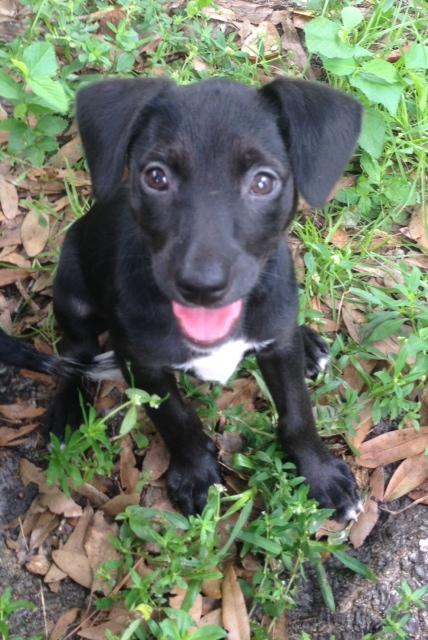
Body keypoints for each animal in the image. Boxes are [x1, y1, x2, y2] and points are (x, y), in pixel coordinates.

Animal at [4, 76, 363, 519]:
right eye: (156, 177)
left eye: (263, 182)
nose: (201, 285)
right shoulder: (142, 363)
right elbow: (175, 419)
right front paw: (195, 475)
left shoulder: (278, 349)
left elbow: (298, 413)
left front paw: (320, 474)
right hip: (72, 288)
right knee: (76, 350)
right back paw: (68, 405)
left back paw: (308, 344)